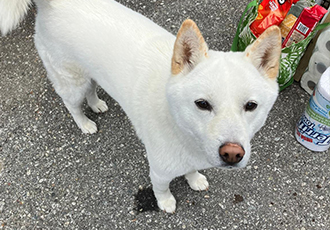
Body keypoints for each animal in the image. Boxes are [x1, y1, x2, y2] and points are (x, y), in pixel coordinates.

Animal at [1, 0, 282, 213]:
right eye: (202, 104)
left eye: (251, 105)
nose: (232, 154)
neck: (181, 128)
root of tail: (53, 3)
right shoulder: (159, 170)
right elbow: (161, 188)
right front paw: (166, 203)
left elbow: (191, 170)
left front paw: (194, 179)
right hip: (72, 82)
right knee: (72, 104)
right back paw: (84, 123)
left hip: (90, 73)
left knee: (92, 88)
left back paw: (97, 104)